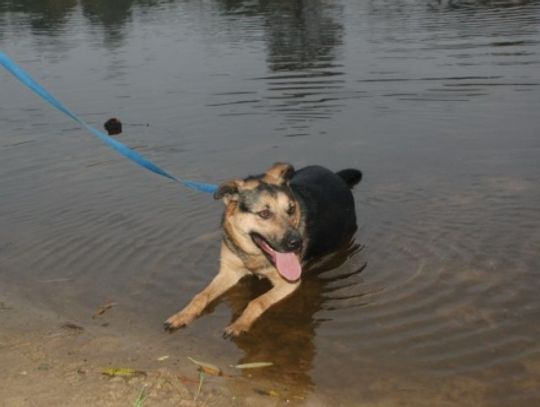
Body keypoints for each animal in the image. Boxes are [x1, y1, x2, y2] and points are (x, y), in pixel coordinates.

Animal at [162, 163, 360, 338]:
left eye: (291, 209)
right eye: (264, 214)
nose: (297, 243)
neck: (253, 255)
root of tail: (336, 176)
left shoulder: (289, 283)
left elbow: (256, 301)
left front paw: (240, 324)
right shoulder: (229, 272)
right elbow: (201, 295)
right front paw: (182, 315)